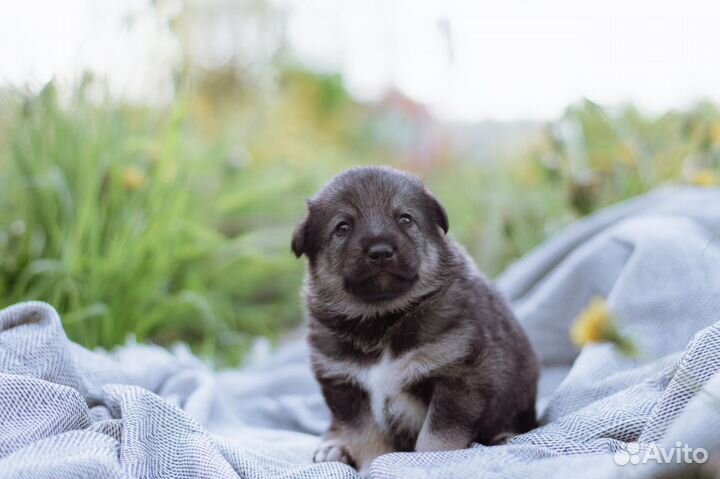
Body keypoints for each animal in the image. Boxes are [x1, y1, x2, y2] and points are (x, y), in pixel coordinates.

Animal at [292, 167, 536, 474]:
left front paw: (427, 464)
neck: (382, 319)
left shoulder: (458, 377)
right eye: (343, 227)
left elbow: (437, 437)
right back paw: (333, 446)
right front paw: (370, 464)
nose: (380, 252)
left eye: (405, 219)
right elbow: (365, 437)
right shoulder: (345, 386)